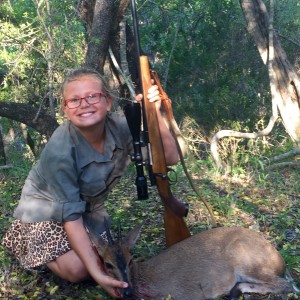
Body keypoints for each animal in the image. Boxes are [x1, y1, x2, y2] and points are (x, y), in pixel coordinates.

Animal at [88, 224, 296, 298]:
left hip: (246, 260)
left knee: (286, 284)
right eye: (107, 264)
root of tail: (280, 260)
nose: (127, 291)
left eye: (131, 260)